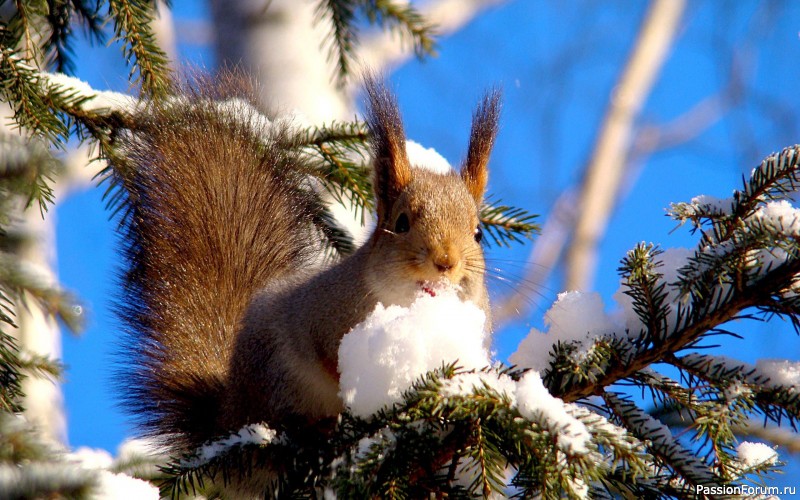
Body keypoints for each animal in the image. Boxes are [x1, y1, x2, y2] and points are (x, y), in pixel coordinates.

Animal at [115, 74, 496, 464]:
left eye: (478, 233)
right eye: (401, 223)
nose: (445, 262)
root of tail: (229, 413)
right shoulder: (322, 319)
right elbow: (330, 362)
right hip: (277, 380)